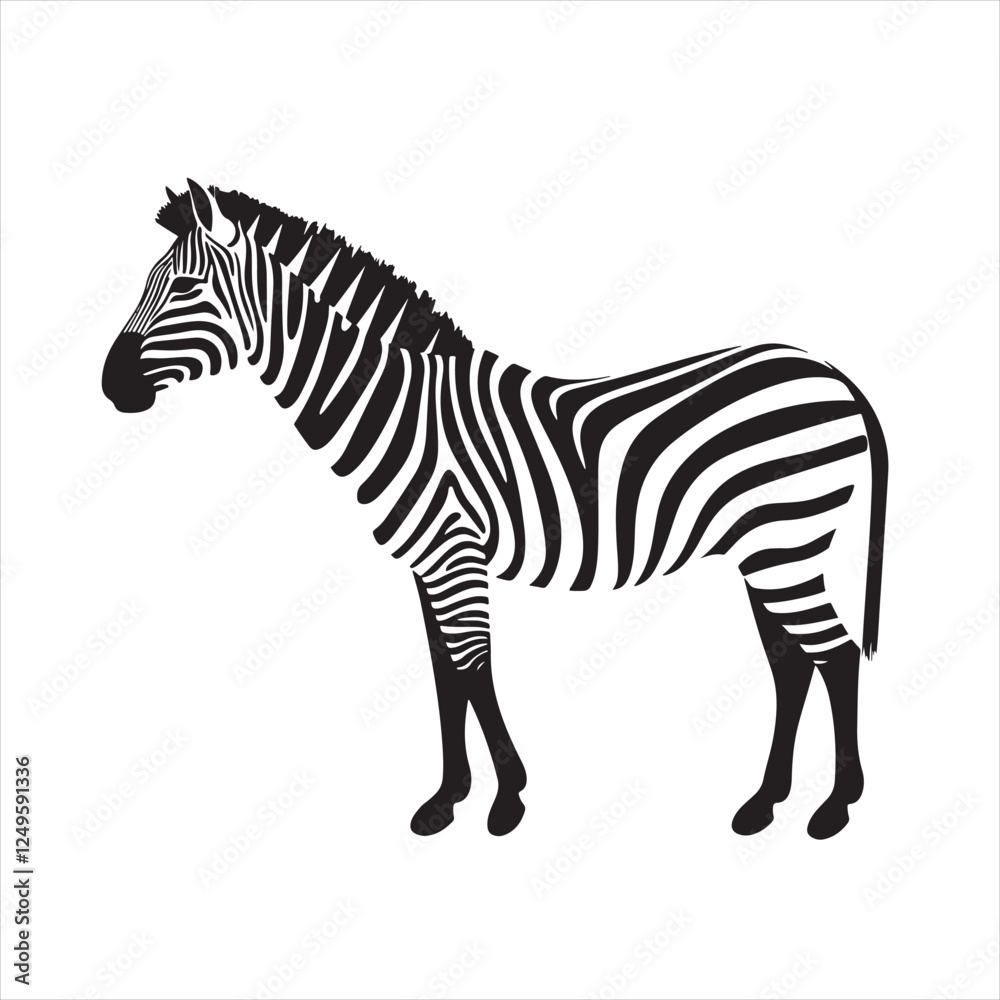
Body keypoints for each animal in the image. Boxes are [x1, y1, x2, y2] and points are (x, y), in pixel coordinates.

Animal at [102, 181, 888, 842]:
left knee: (836, 653)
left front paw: (507, 800)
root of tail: (830, 371)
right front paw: (445, 800)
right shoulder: (426, 565)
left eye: (185, 286)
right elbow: (444, 676)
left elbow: (475, 669)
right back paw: (764, 804)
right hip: (766, 548)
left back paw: (834, 807)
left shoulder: (456, 553)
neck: (397, 409)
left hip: (787, 541)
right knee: (792, 662)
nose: (112, 386)